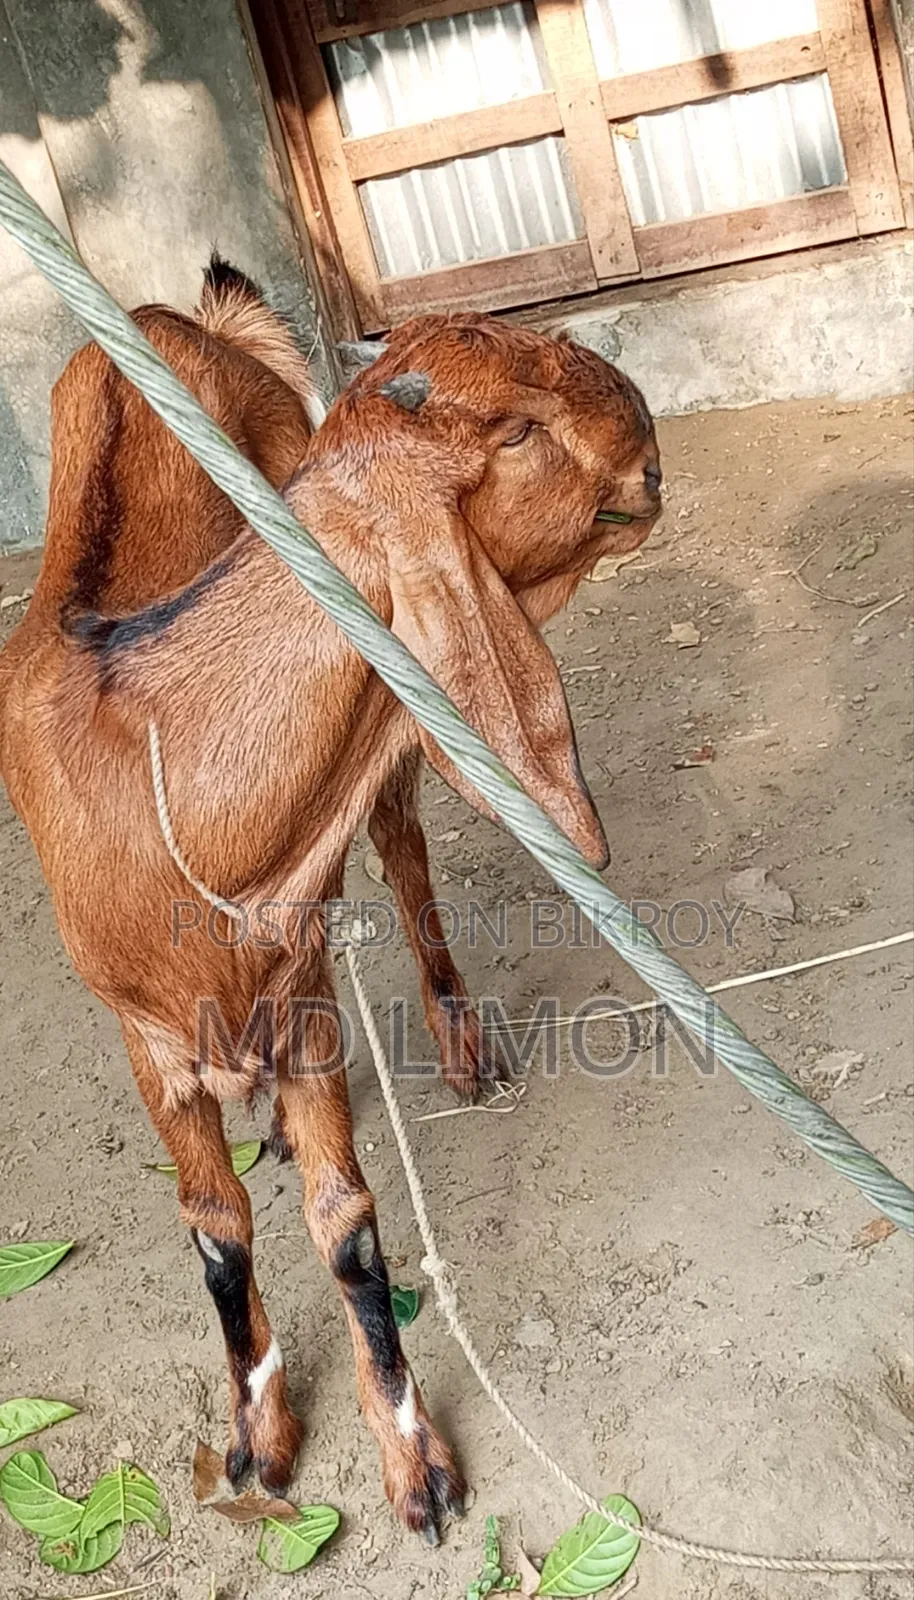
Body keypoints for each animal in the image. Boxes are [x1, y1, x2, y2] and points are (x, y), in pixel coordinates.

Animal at [0, 270, 662, 1541]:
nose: (650, 443)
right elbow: (215, 1233)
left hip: (395, 723)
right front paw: (257, 1435)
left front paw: (416, 1463)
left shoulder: (302, 1000)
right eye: (513, 433)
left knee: (401, 851)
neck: (150, 771)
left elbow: (346, 1225)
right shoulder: (147, 1040)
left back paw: (458, 1040)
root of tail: (172, 316)